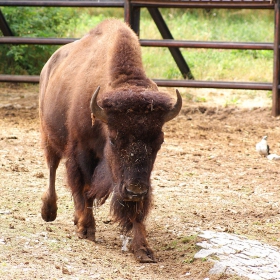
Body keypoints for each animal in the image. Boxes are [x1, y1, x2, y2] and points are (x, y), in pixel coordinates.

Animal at [39, 19, 183, 262]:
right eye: (114, 140)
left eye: (159, 141)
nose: (135, 190)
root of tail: (49, 64)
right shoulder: (81, 152)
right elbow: (84, 187)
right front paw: (86, 229)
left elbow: (137, 210)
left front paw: (143, 249)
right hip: (48, 135)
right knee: (52, 167)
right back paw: (49, 211)